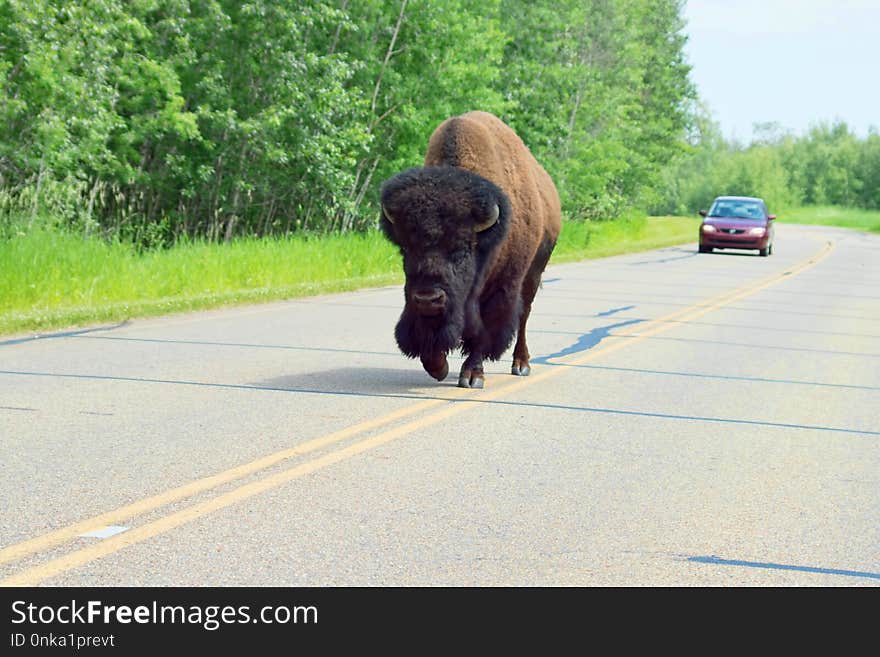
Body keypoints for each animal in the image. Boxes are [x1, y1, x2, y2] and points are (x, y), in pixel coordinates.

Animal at [380, 110, 560, 386]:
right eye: (406, 249)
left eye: (461, 250)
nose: (428, 298)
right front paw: (438, 367)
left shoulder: (500, 288)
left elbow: (482, 330)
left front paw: (472, 375)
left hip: (534, 273)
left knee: (524, 315)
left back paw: (521, 364)